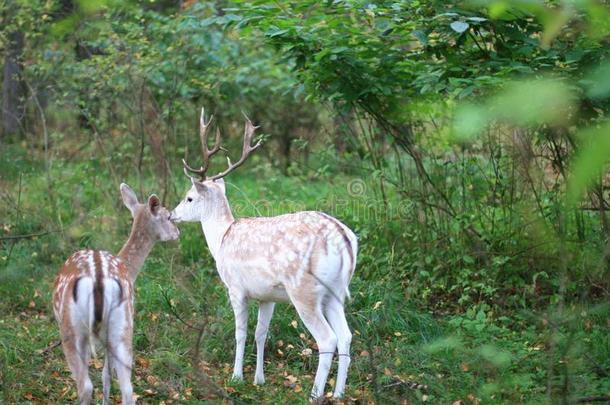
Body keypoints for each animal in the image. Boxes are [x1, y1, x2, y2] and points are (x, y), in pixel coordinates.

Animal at [52, 184, 178, 404]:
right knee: (127, 388)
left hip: (75, 328)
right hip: (121, 326)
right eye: (168, 216)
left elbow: (104, 375)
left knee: (86, 385)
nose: (178, 232)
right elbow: (107, 375)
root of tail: (99, 279)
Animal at [171, 109, 356, 400]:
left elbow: (240, 333)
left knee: (328, 338)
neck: (221, 238)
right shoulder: (267, 296)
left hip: (304, 291)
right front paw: (259, 380)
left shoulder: (235, 287)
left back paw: (314, 394)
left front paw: (236, 377)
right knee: (347, 335)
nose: (171, 214)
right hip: (334, 292)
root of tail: (345, 239)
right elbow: (261, 333)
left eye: (189, 198)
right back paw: (338, 394)